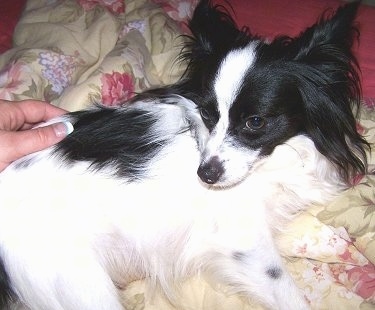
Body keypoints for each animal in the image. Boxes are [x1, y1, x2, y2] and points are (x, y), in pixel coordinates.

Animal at [0, 0, 370, 310]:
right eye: (208, 114)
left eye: (255, 122)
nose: (205, 175)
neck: (271, 161)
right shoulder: (245, 245)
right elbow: (287, 292)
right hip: (80, 284)